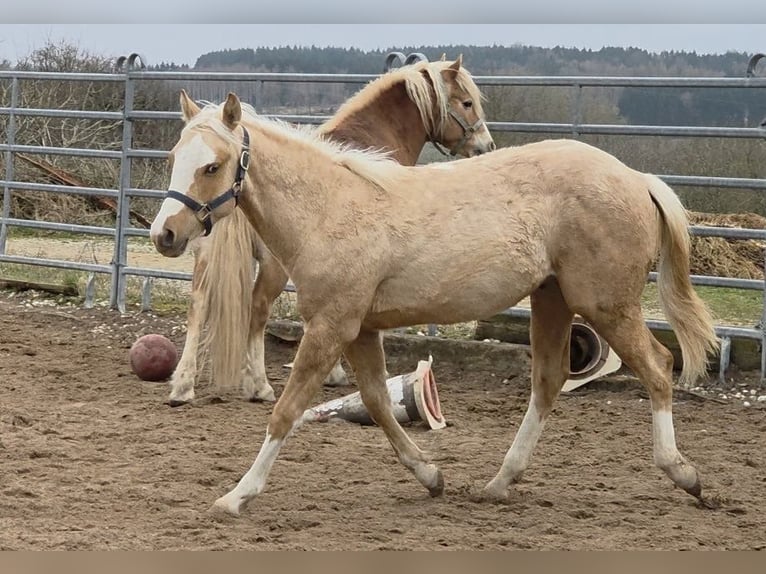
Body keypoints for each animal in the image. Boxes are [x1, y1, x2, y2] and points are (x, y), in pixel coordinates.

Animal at [164, 56, 495, 407]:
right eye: (467, 102)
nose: (486, 145)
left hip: (204, 253)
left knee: (198, 304)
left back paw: (183, 385)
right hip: (272, 266)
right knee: (257, 309)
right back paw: (259, 385)